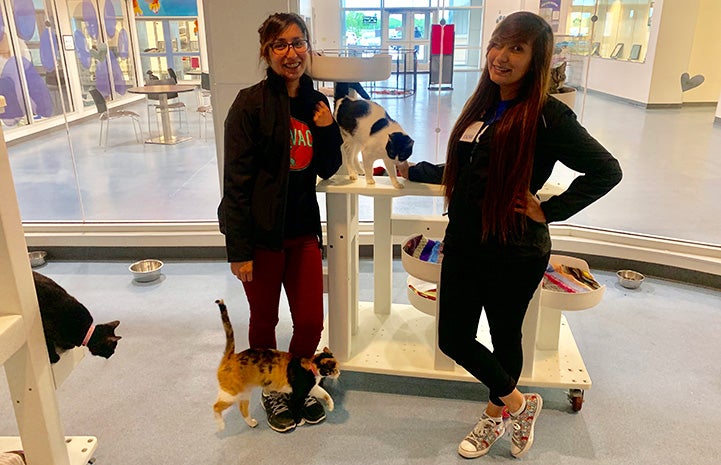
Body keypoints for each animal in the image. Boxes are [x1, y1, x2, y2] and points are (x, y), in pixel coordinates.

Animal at [212, 300, 338, 430]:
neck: (311, 367)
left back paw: (251, 423)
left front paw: (331, 405)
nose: (338, 373)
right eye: (333, 368)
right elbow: (296, 410)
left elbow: (324, 393)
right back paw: (221, 425)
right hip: (231, 393)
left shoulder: (312, 388)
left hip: (244, 393)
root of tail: (231, 356)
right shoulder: (297, 395)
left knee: (242, 409)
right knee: (215, 406)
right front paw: (299, 421)